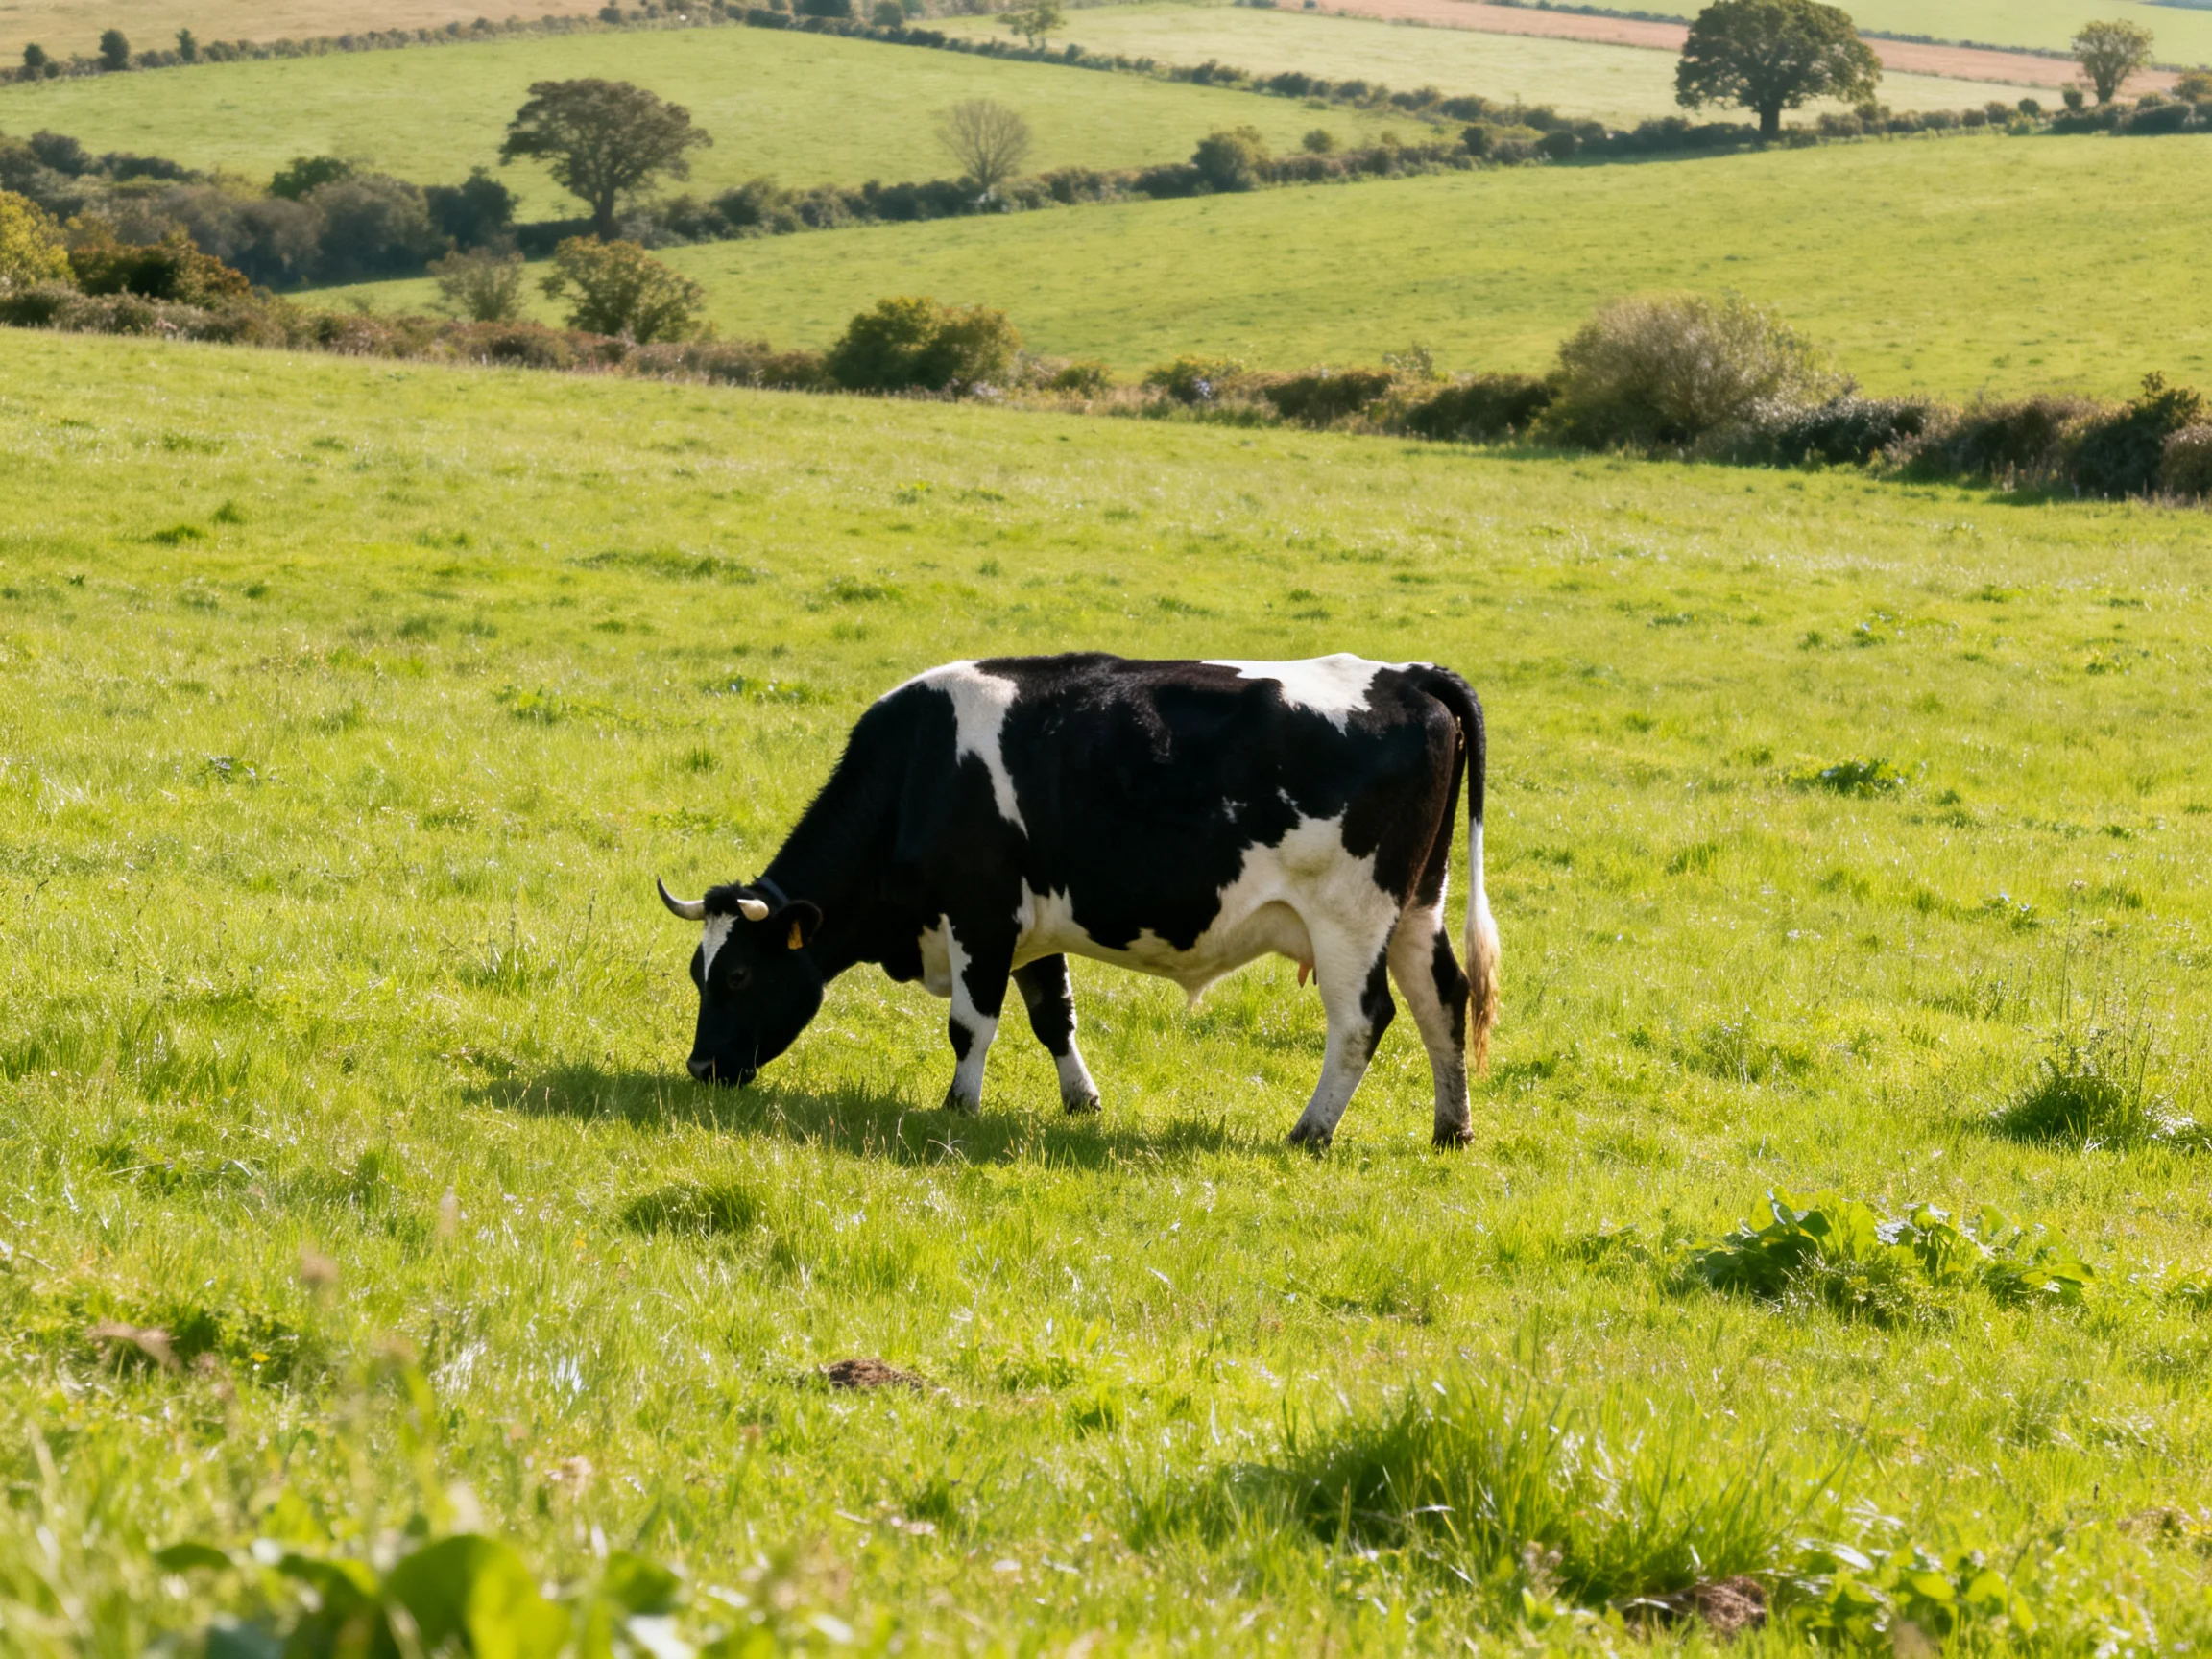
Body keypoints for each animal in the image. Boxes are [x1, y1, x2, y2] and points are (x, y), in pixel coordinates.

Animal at [656, 653, 1498, 1148]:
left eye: (738, 976)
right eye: (699, 975)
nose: (700, 1067)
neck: (920, 771)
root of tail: (1409, 675)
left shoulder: (981, 915)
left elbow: (972, 1023)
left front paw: (959, 1106)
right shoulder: (1032, 924)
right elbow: (1051, 1015)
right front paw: (1081, 1100)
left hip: (1350, 917)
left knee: (1363, 1020)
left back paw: (1311, 1132)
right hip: (1417, 906)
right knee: (1444, 1000)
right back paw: (1450, 1130)